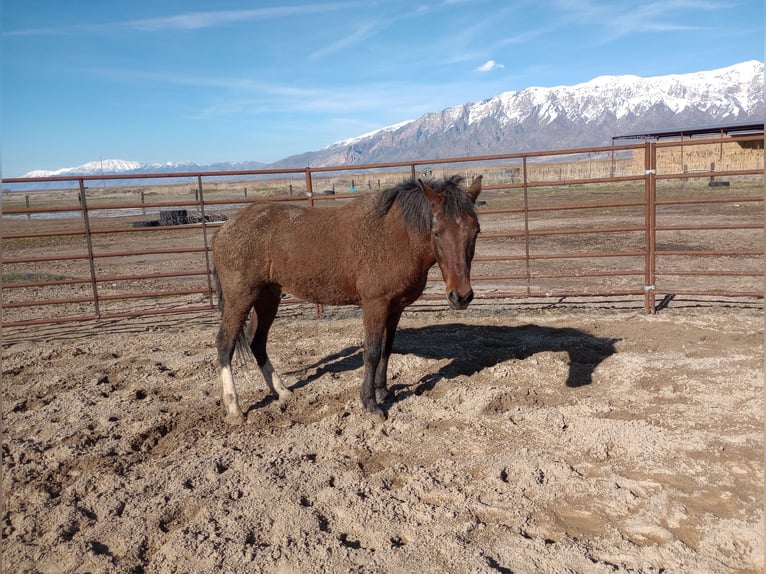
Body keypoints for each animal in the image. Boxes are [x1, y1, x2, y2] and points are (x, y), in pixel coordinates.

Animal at [213, 173, 484, 426]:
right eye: (436, 232)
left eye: (476, 232)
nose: (461, 296)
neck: (395, 236)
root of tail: (225, 228)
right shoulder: (375, 305)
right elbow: (372, 352)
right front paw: (371, 404)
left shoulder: (395, 307)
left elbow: (387, 348)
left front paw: (383, 391)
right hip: (240, 297)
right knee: (225, 344)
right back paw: (234, 408)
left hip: (267, 297)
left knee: (257, 342)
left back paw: (282, 391)